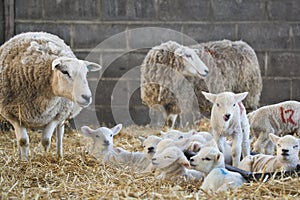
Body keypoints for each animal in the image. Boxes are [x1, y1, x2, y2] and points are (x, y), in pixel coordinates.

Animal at [0, 32, 101, 161]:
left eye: (86, 73)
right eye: (64, 72)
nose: (87, 97)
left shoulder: (57, 115)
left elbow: (46, 140)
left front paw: (45, 156)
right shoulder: (13, 115)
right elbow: (22, 141)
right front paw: (24, 161)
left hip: (64, 113)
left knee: (59, 134)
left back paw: (59, 155)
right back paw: (19, 155)